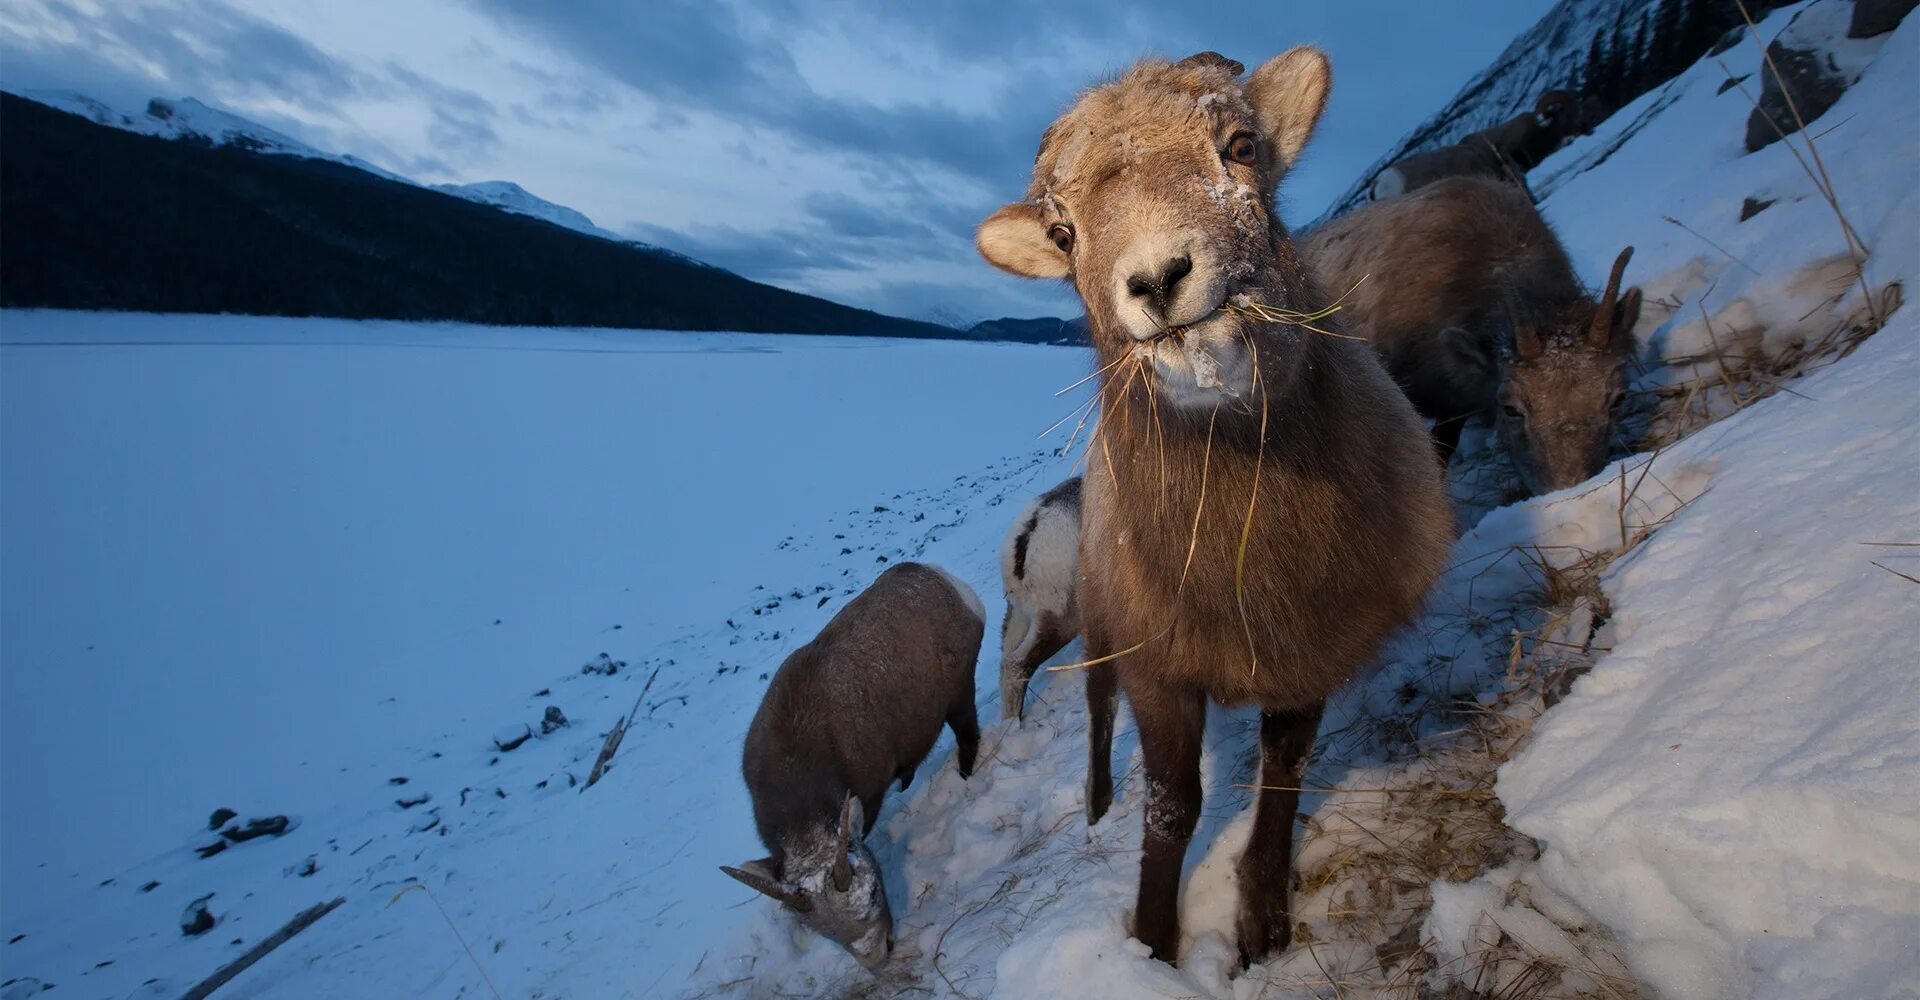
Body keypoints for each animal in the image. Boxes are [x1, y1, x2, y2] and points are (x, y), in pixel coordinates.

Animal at [721, 556, 990, 963]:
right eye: (824, 932)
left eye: (875, 893)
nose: (877, 955)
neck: (794, 763)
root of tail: (945, 580)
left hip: (959, 696)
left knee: (968, 735)